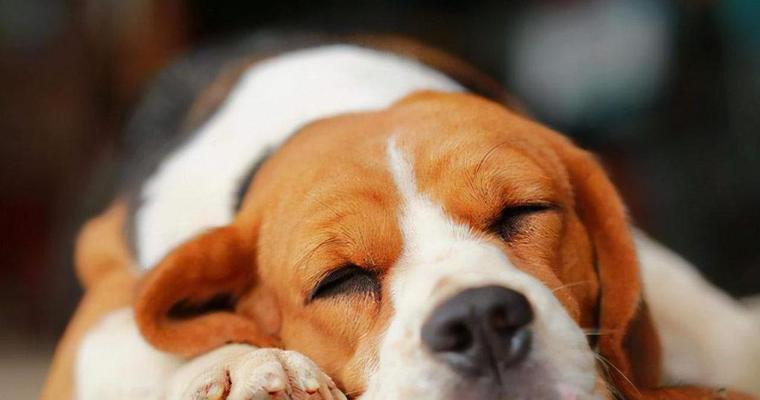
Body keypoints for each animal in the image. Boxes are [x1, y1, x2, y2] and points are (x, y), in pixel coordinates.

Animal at [43, 34, 760, 400]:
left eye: (523, 210)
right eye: (338, 280)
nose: (480, 320)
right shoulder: (99, 293)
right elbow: (135, 341)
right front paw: (243, 365)